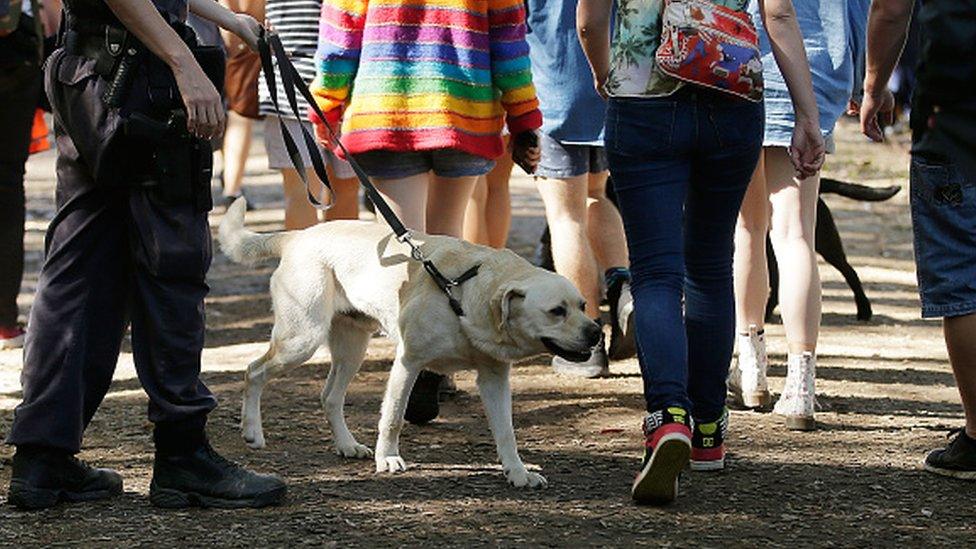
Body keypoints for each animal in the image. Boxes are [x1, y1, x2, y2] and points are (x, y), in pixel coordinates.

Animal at [218, 199, 600, 486]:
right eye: (556, 311)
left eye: (582, 305)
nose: (597, 332)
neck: (465, 293)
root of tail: (298, 236)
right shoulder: (408, 362)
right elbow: (393, 417)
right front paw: (387, 459)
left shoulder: (494, 378)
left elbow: (506, 432)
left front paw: (518, 473)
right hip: (301, 340)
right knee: (253, 371)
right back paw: (252, 432)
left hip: (351, 349)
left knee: (329, 397)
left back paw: (347, 445)